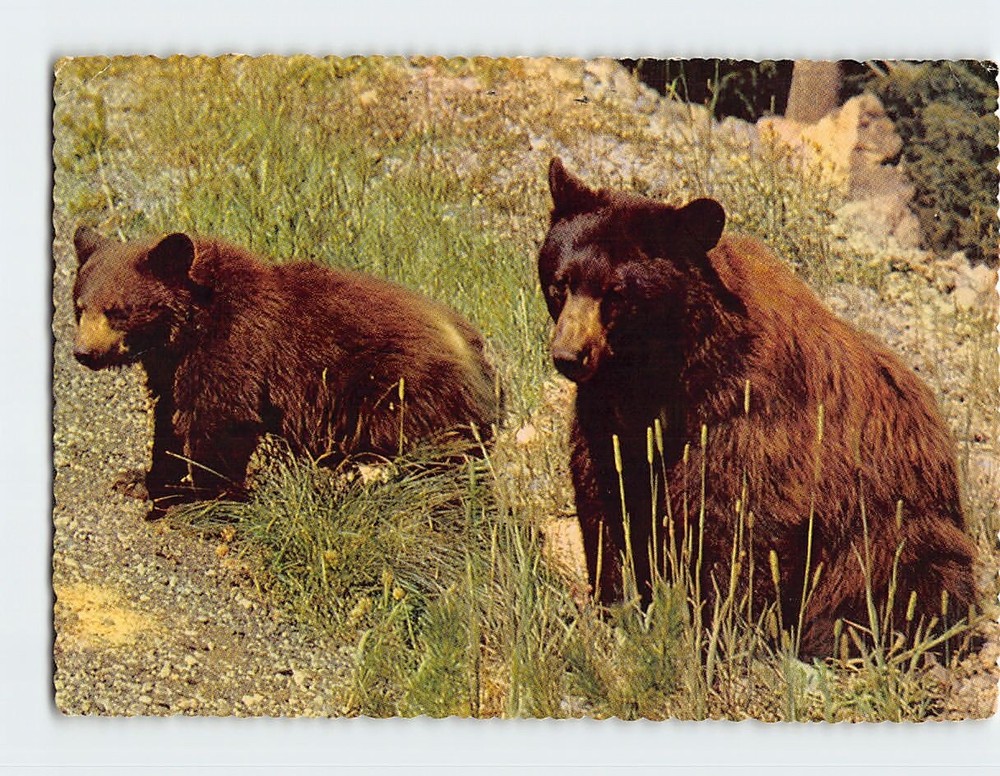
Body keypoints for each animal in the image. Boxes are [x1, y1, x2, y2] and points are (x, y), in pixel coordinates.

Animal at [72, 227, 501, 518]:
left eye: (118, 310)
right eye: (80, 306)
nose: (84, 353)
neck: (187, 326)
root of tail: (482, 362)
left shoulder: (234, 343)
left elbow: (220, 419)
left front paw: (197, 497)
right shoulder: (170, 365)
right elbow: (170, 419)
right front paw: (142, 479)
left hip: (396, 391)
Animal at [539, 157, 978, 658]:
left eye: (616, 293)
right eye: (561, 283)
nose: (570, 355)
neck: (657, 372)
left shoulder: (745, 411)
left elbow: (738, 520)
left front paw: (717, 629)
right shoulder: (608, 419)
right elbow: (606, 502)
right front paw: (615, 607)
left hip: (898, 531)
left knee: (908, 582)